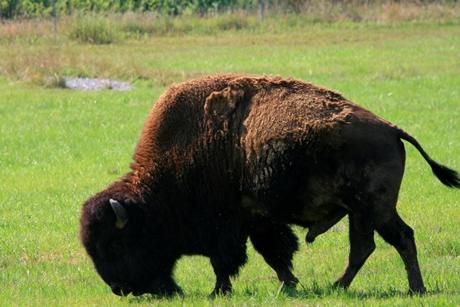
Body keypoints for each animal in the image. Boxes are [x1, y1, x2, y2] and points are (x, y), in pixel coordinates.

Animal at [80, 73, 460, 298]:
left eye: (115, 244)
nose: (119, 289)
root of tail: (392, 129)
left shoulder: (234, 224)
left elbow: (235, 258)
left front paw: (221, 291)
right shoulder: (256, 221)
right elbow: (271, 253)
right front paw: (288, 285)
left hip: (375, 207)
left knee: (400, 238)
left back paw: (412, 289)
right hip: (360, 212)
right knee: (365, 247)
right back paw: (340, 286)